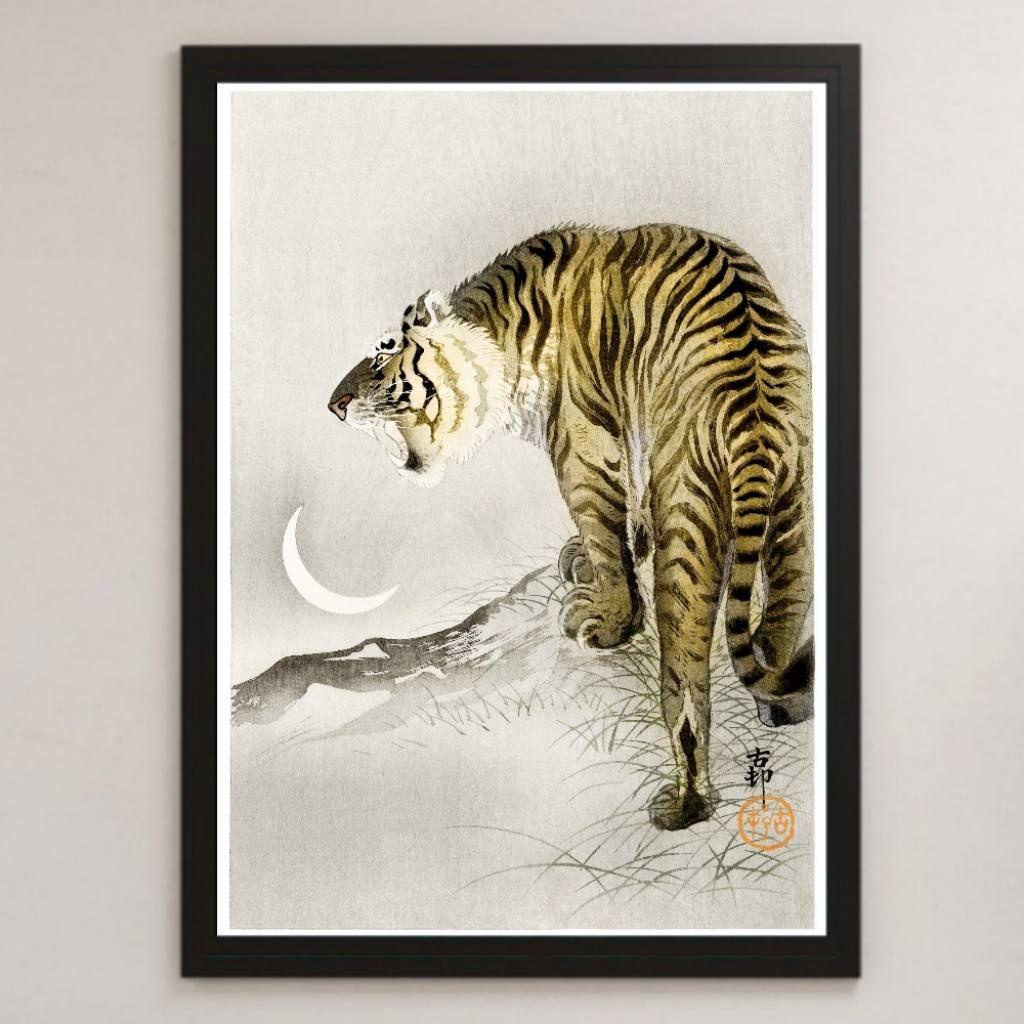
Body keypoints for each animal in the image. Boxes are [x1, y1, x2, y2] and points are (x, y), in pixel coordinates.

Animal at [328, 224, 814, 831]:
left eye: (382, 356)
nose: (334, 404)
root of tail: (754, 405)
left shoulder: (581, 444)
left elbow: (603, 528)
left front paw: (607, 618)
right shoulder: (631, 431)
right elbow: (627, 515)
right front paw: (594, 556)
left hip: (689, 510)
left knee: (685, 679)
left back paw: (684, 804)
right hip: (795, 505)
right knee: (784, 613)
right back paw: (785, 705)